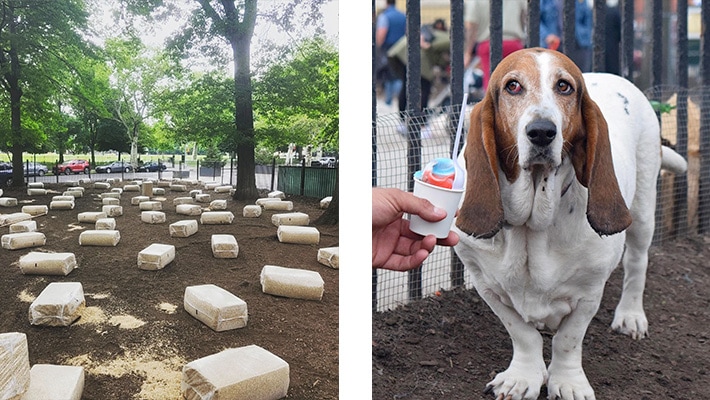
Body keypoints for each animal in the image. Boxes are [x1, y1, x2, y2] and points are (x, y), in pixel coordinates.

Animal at [456, 49, 688, 400]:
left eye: (564, 86)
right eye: (512, 86)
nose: (541, 131)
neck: (532, 222)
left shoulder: (589, 291)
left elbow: (568, 341)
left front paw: (568, 383)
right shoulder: (486, 285)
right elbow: (522, 334)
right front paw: (522, 377)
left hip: (643, 212)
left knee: (637, 264)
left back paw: (631, 315)